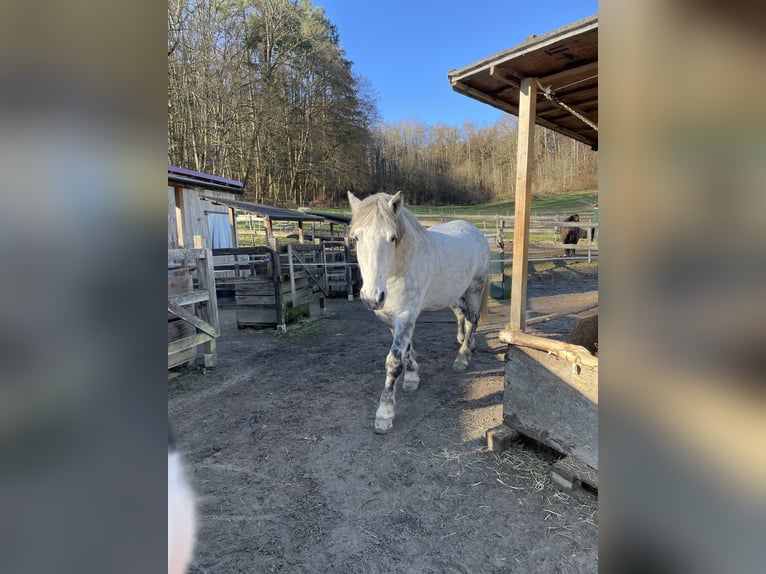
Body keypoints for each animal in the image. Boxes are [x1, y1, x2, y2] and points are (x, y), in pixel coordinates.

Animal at [350, 191, 492, 434]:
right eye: (356, 238)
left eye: (392, 238)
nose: (372, 297)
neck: (398, 269)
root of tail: (475, 230)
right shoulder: (392, 319)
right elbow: (406, 350)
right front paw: (411, 378)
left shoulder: (405, 316)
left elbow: (393, 361)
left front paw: (384, 414)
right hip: (454, 294)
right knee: (462, 315)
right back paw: (467, 344)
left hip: (474, 288)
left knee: (473, 320)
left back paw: (462, 358)